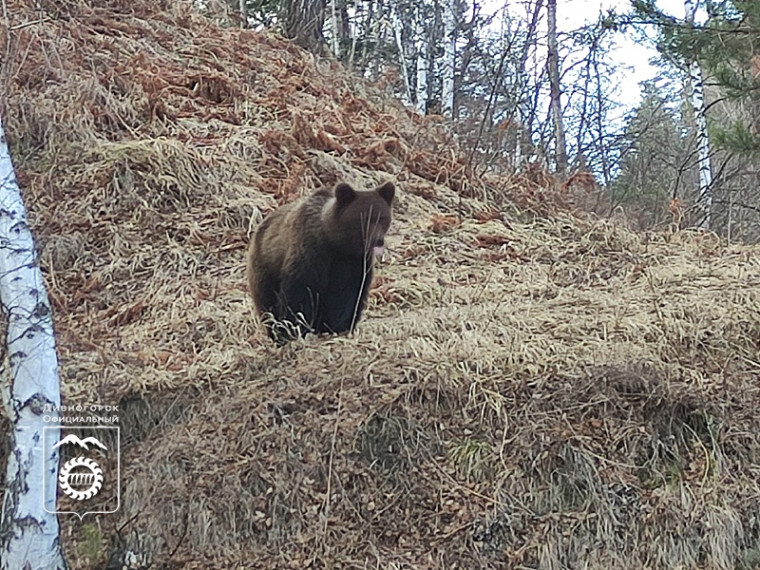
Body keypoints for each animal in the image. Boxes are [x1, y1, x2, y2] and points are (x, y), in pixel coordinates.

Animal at [246, 181, 394, 342]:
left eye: (383, 217)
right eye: (364, 217)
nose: (378, 240)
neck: (336, 242)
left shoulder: (353, 263)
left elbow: (346, 294)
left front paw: (336, 325)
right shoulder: (311, 252)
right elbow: (300, 291)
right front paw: (293, 328)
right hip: (265, 265)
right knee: (267, 300)